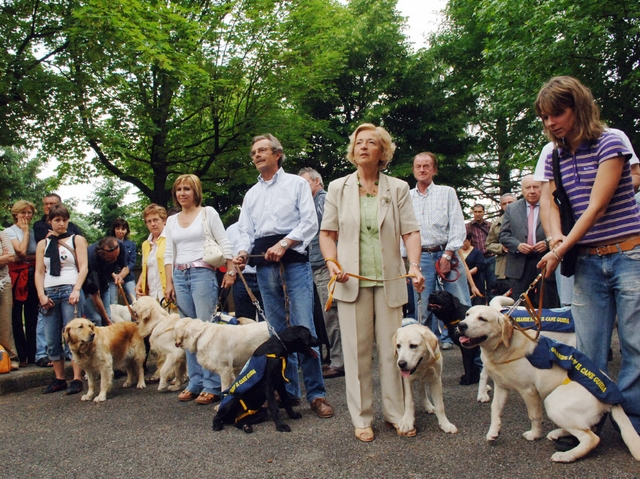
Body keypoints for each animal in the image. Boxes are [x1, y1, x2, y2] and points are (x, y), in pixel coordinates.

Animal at [458, 306, 640, 464]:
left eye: (482, 319)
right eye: (467, 314)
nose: (461, 325)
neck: (501, 348)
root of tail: (613, 399)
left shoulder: (528, 390)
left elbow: (534, 416)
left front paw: (534, 434)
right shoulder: (501, 386)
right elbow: (495, 409)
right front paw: (493, 432)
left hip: (553, 402)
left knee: (591, 438)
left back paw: (566, 456)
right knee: (589, 428)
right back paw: (559, 433)